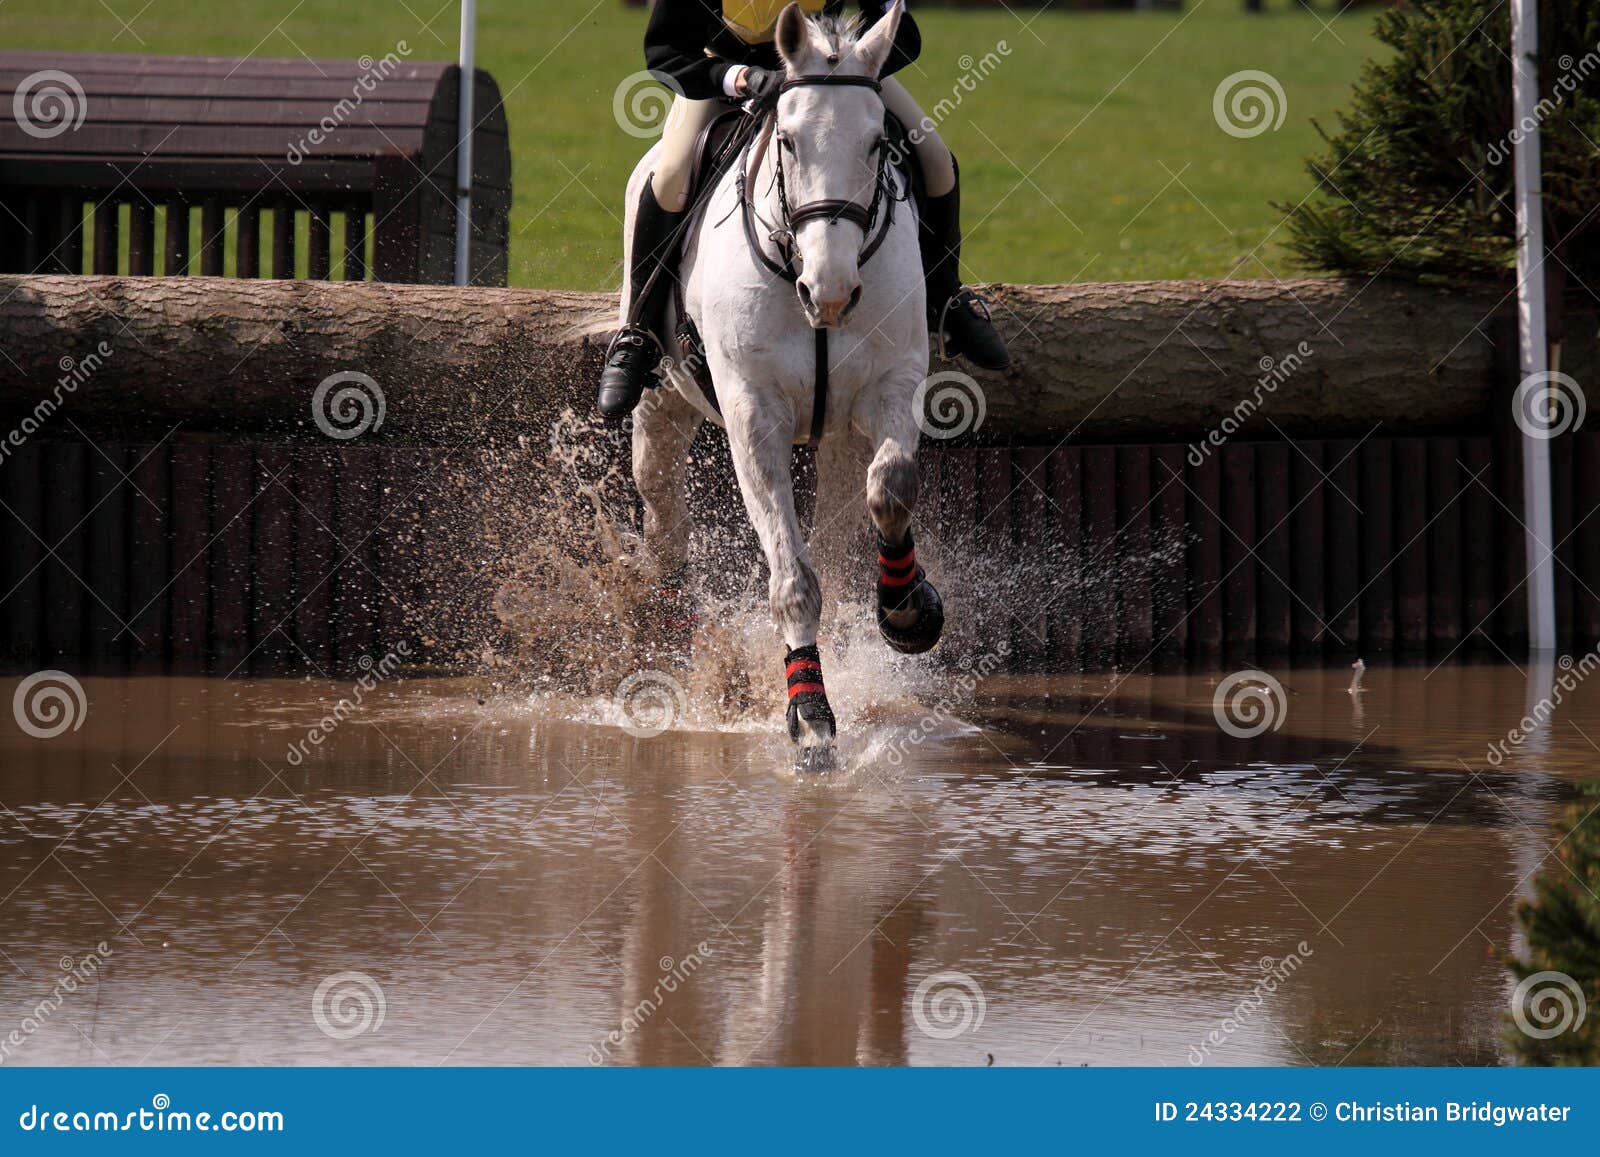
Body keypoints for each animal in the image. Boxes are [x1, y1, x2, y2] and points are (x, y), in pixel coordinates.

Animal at [624, 2, 943, 769]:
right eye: (790, 141)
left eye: (876, 145)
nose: (832, 292)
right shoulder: (752, 415)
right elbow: (794, 576)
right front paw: (810, 716)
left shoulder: (892, 385)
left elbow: (892, 489)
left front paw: (908, 610)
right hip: (662, 405)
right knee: (663, 511)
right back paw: (673, 634)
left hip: (837, 438)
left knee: (850, 515)